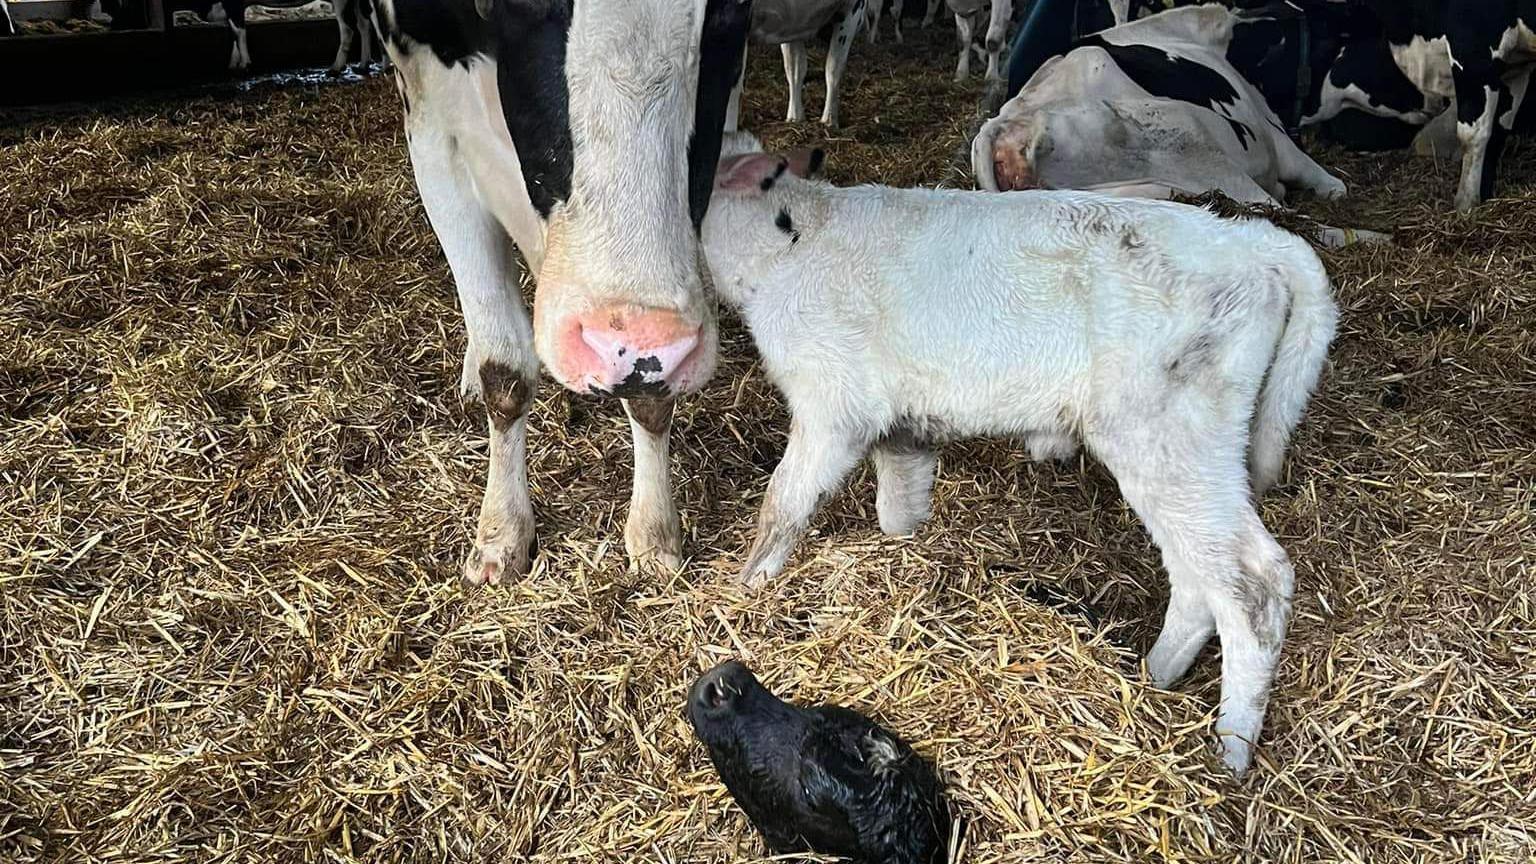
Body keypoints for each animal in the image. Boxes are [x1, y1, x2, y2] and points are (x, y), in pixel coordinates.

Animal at [373, 0, 755, 584]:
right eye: (528, 4)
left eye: (731, 12)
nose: (641, 342)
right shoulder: (432, 119)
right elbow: (504, 370)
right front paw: (502, 531)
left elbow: (651, 401)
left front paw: (654, 533)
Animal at [703, 134, 1339, 774]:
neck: (792, 240)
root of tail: (1253, 241)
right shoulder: (903, 428)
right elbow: (898, 510)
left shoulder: (831, 405)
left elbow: (783, 504)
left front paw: (743, 592)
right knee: (1196, 577)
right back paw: (1152, 678)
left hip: (1171, 434)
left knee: (1253, 585)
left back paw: (1229, 752)